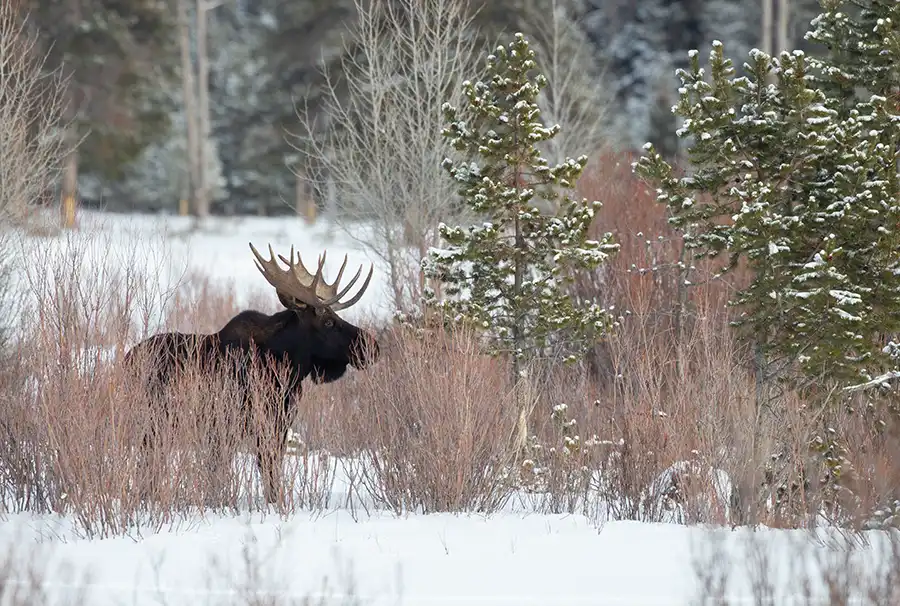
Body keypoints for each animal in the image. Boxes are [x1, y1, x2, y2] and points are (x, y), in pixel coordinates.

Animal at [124, 245, 380, 506]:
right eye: (328, 321)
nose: (372, 346)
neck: (288, 368)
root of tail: (126, 361)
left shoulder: (280, 423)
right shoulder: (235, 424)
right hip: (153, 422)